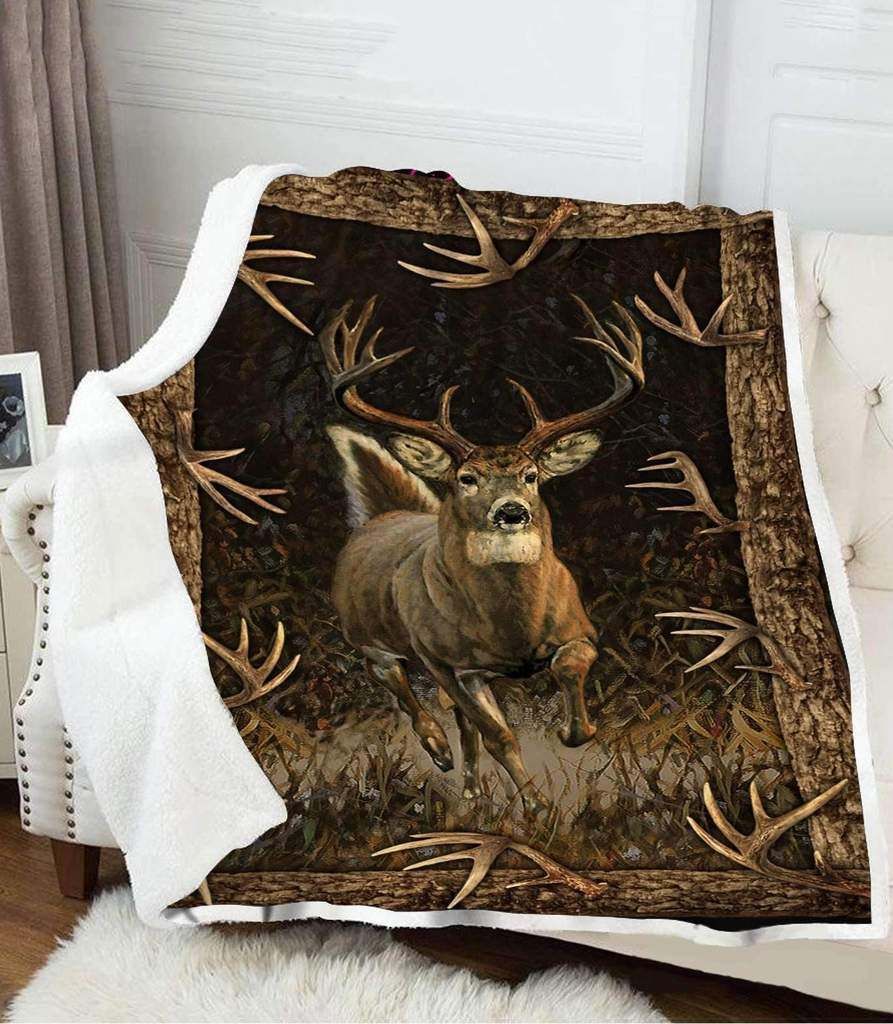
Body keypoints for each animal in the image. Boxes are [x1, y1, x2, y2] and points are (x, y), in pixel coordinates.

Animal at [318, 294, 645, 815]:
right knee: (401, 685)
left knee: (460, 719)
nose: (511, 511)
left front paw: (573, 731)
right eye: (467, 478)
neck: (512, 631)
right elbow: (499, 735)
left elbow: (566, 671)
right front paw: (536, 806)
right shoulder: (445, 661)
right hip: (370, 638)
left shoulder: (581, 630)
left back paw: (470, 789)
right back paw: (439, 751)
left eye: (532, 475)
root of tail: (384, 515)